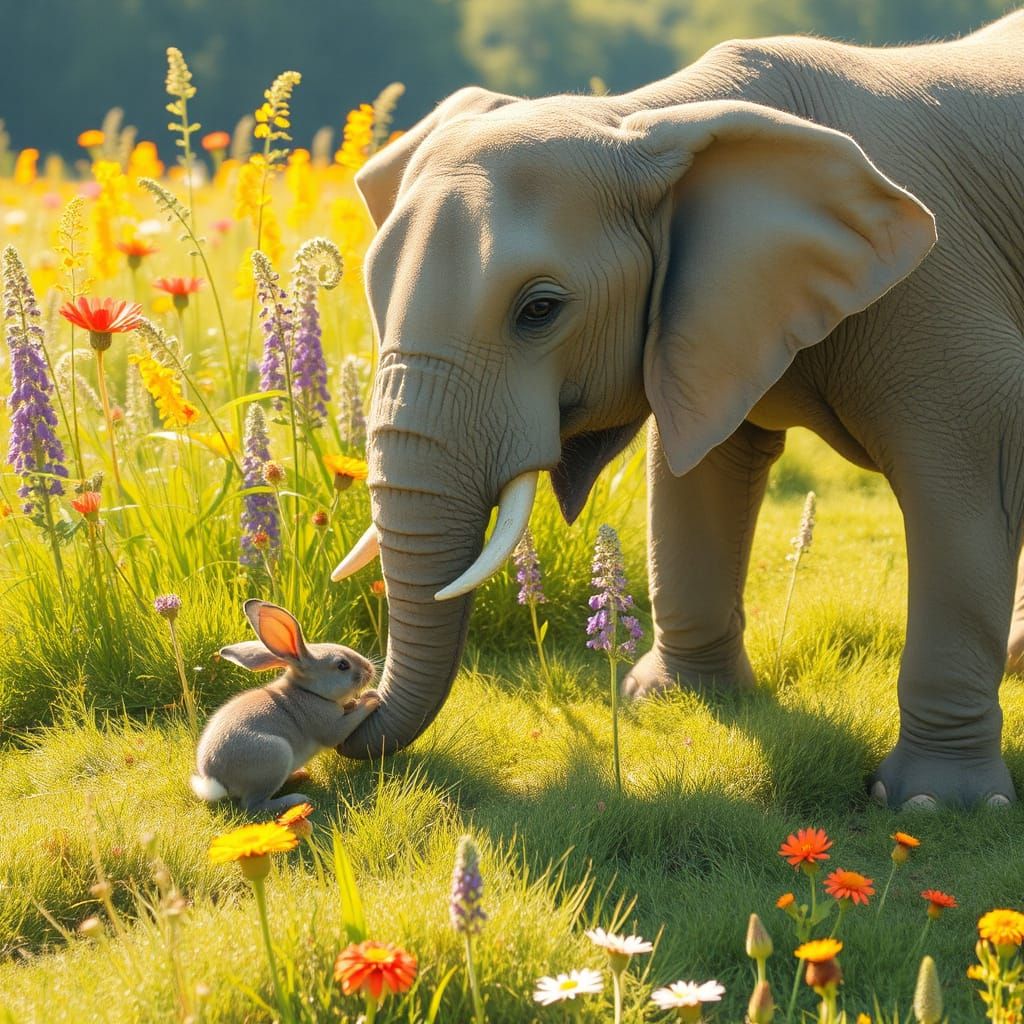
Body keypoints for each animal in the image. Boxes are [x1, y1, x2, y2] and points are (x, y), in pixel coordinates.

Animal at [190, 599, 379, 815]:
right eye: (342, 665)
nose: (370, 669)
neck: (308, 691)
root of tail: (215, 782)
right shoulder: (331, 727)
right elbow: (345, 725)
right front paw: (371, 698)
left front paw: (355, 701)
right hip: (275, 756)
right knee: (253, 805)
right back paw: (296, 799)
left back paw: (300, 775)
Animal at [332, 11, 1024, 809]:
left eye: (539, 310)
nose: (350, 692)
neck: (652, 116)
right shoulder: (703, 313)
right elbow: (701, 474)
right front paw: (674, 700)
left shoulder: (940, 298)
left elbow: (966, 493)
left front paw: (934, 803)